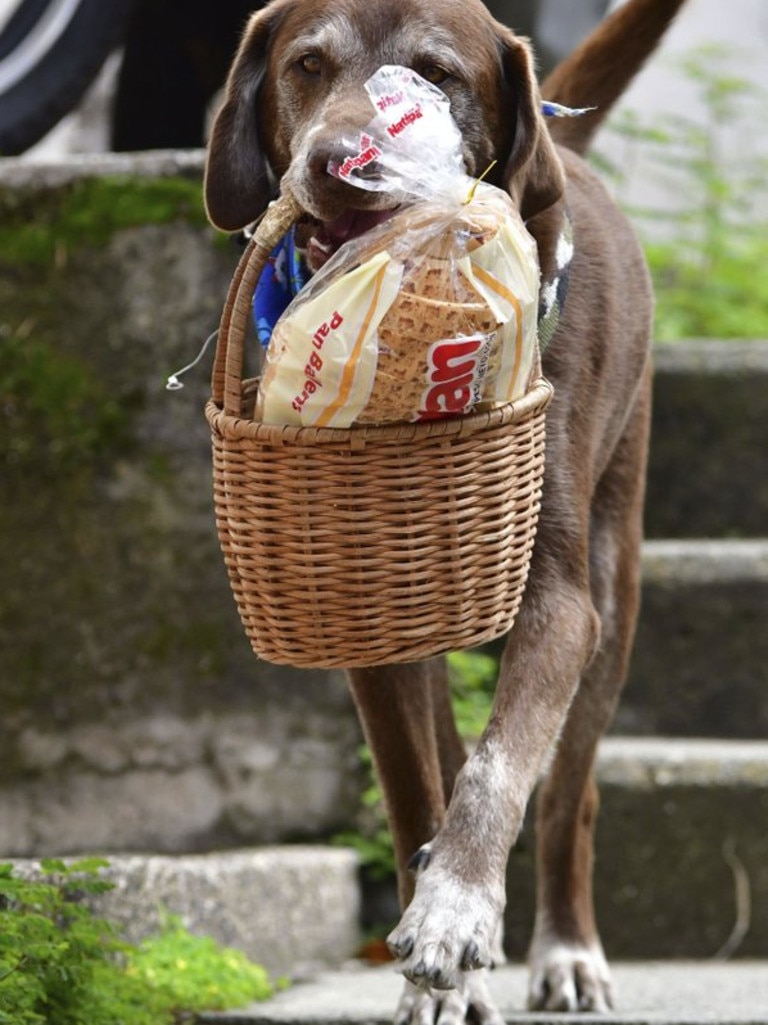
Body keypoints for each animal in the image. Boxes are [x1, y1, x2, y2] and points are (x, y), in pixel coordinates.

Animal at [207, 4, 684, 1020]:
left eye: (437, 74)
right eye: (307, 65)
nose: (340, 162)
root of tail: (564, 145)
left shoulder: (561, 602)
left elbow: (503, 765)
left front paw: (456, 905)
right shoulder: (369, 613)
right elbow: (414, 785)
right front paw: (439, 960)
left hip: (617, 574)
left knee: (570, 791)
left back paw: (567, 949)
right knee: (452, 746)